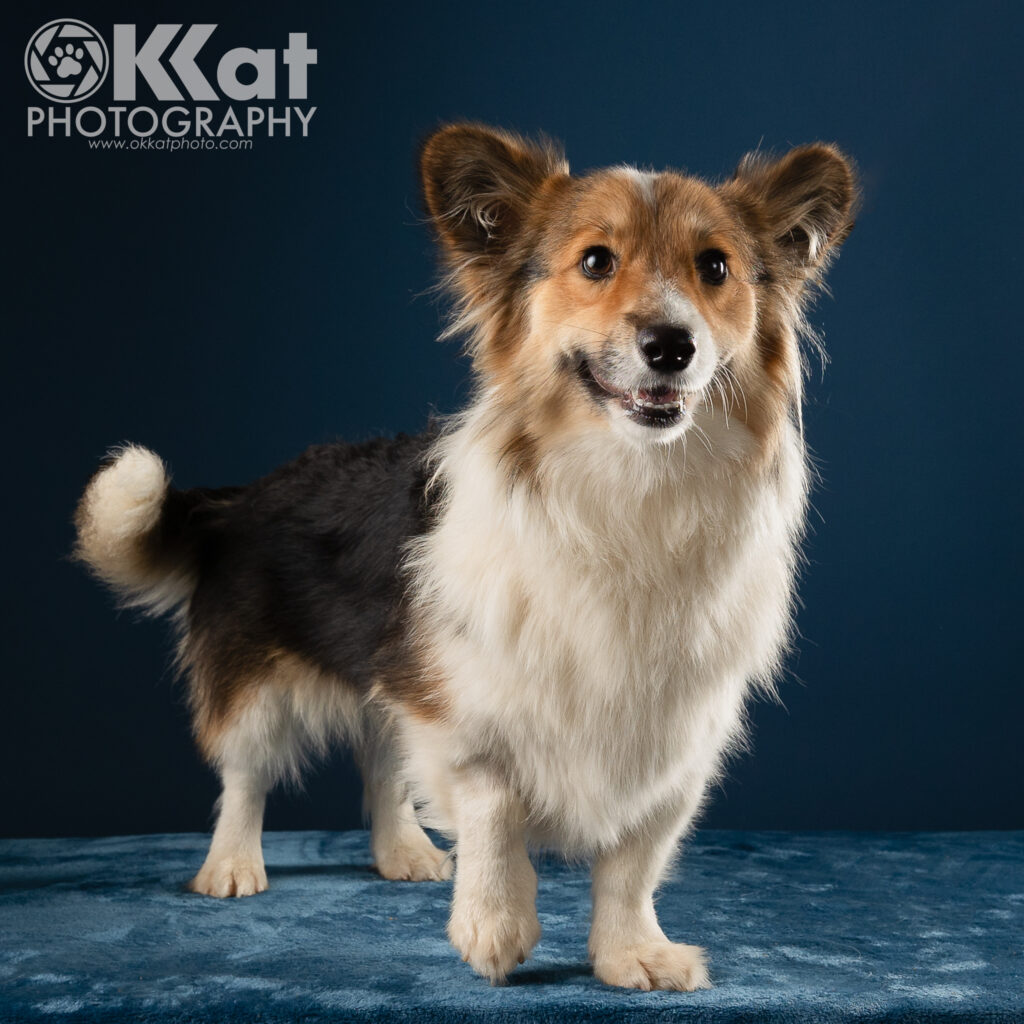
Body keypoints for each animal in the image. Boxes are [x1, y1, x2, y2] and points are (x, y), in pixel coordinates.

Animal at [74, 123, 856, 987]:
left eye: (713, 267)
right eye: (596, 261)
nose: (671, 346)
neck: (627, 487)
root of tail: (244, 494)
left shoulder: (672, 738)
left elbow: (634, 857)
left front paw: (631, 952)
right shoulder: (466, 699)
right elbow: (494, 807)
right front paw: (495, 925)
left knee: (384, 763)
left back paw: (404, 853)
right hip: (259, 685)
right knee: (245, 776)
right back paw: (233, 866)